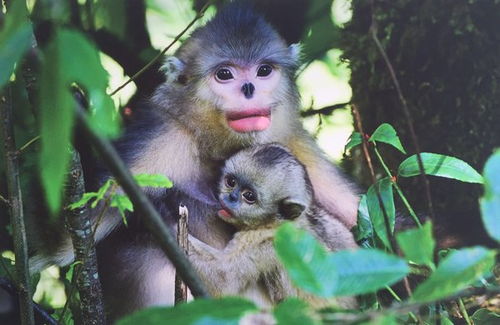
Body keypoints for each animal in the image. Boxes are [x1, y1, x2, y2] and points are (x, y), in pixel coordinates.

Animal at [188, 143, 356, 308]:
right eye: (231, 182)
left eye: (249, 196)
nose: (231, 197)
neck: (274, 223)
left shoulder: (267, 245)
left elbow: (223, 280)